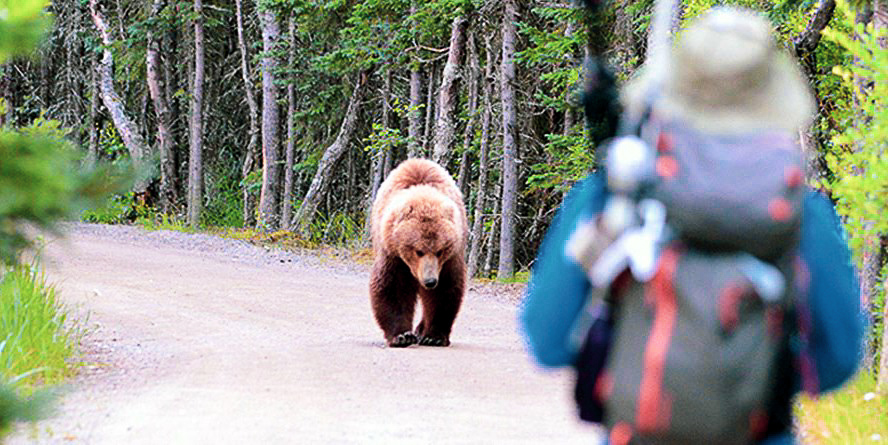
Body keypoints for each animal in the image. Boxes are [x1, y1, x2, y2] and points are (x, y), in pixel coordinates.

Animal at [368, 157, 468, 346]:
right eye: (418, 251)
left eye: (440, 250)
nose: (430, 281)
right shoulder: (393, 254)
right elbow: (393, 287)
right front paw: (401, 336)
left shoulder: (449, 260)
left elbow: (444, 290)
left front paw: (433, 336)